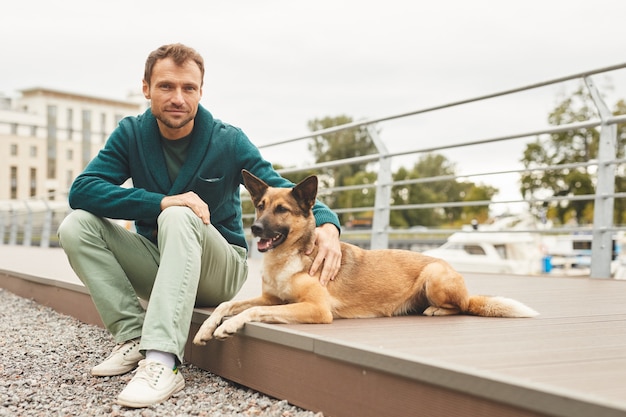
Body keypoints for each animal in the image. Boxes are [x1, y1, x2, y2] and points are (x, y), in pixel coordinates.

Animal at [191, 171, 536, 342]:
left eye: (281, 210)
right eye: (261, 205)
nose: (256, 227)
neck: (289, 258)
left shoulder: (316, 309)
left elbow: (251, 311)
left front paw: (227, 327)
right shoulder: (273, 300)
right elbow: (228, 304)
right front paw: (208, 327)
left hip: (434, 276)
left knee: (462, 306)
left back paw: (437, 310)